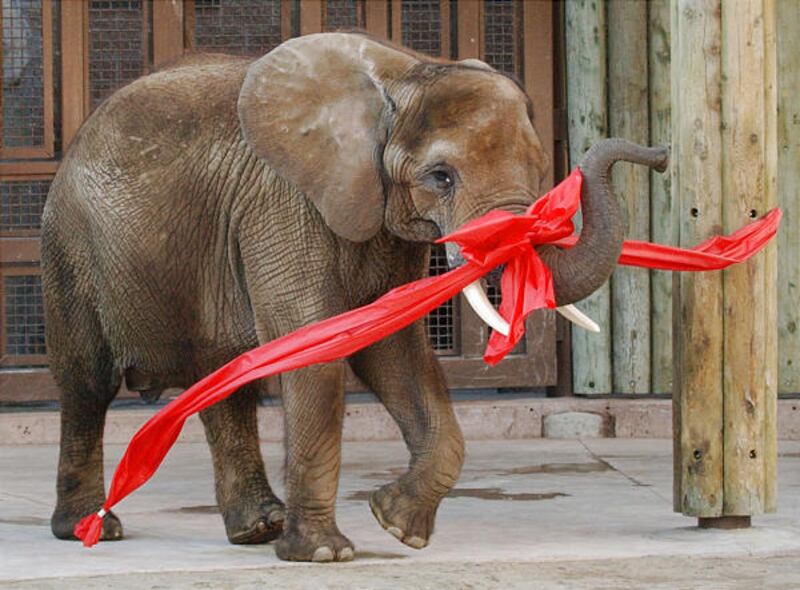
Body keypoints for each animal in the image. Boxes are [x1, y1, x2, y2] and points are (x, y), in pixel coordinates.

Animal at [42, 31, 668, 562]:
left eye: (541, 171)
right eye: (441, 177)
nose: (660, 155)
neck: (404, 73)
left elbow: (394, 350)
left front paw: (395, 526)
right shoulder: (283, 203)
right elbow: (314, 345)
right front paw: (324, 555)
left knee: (226, 382)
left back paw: (258, 529)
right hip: (71, 245)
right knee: (87, 384)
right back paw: (90, 529)